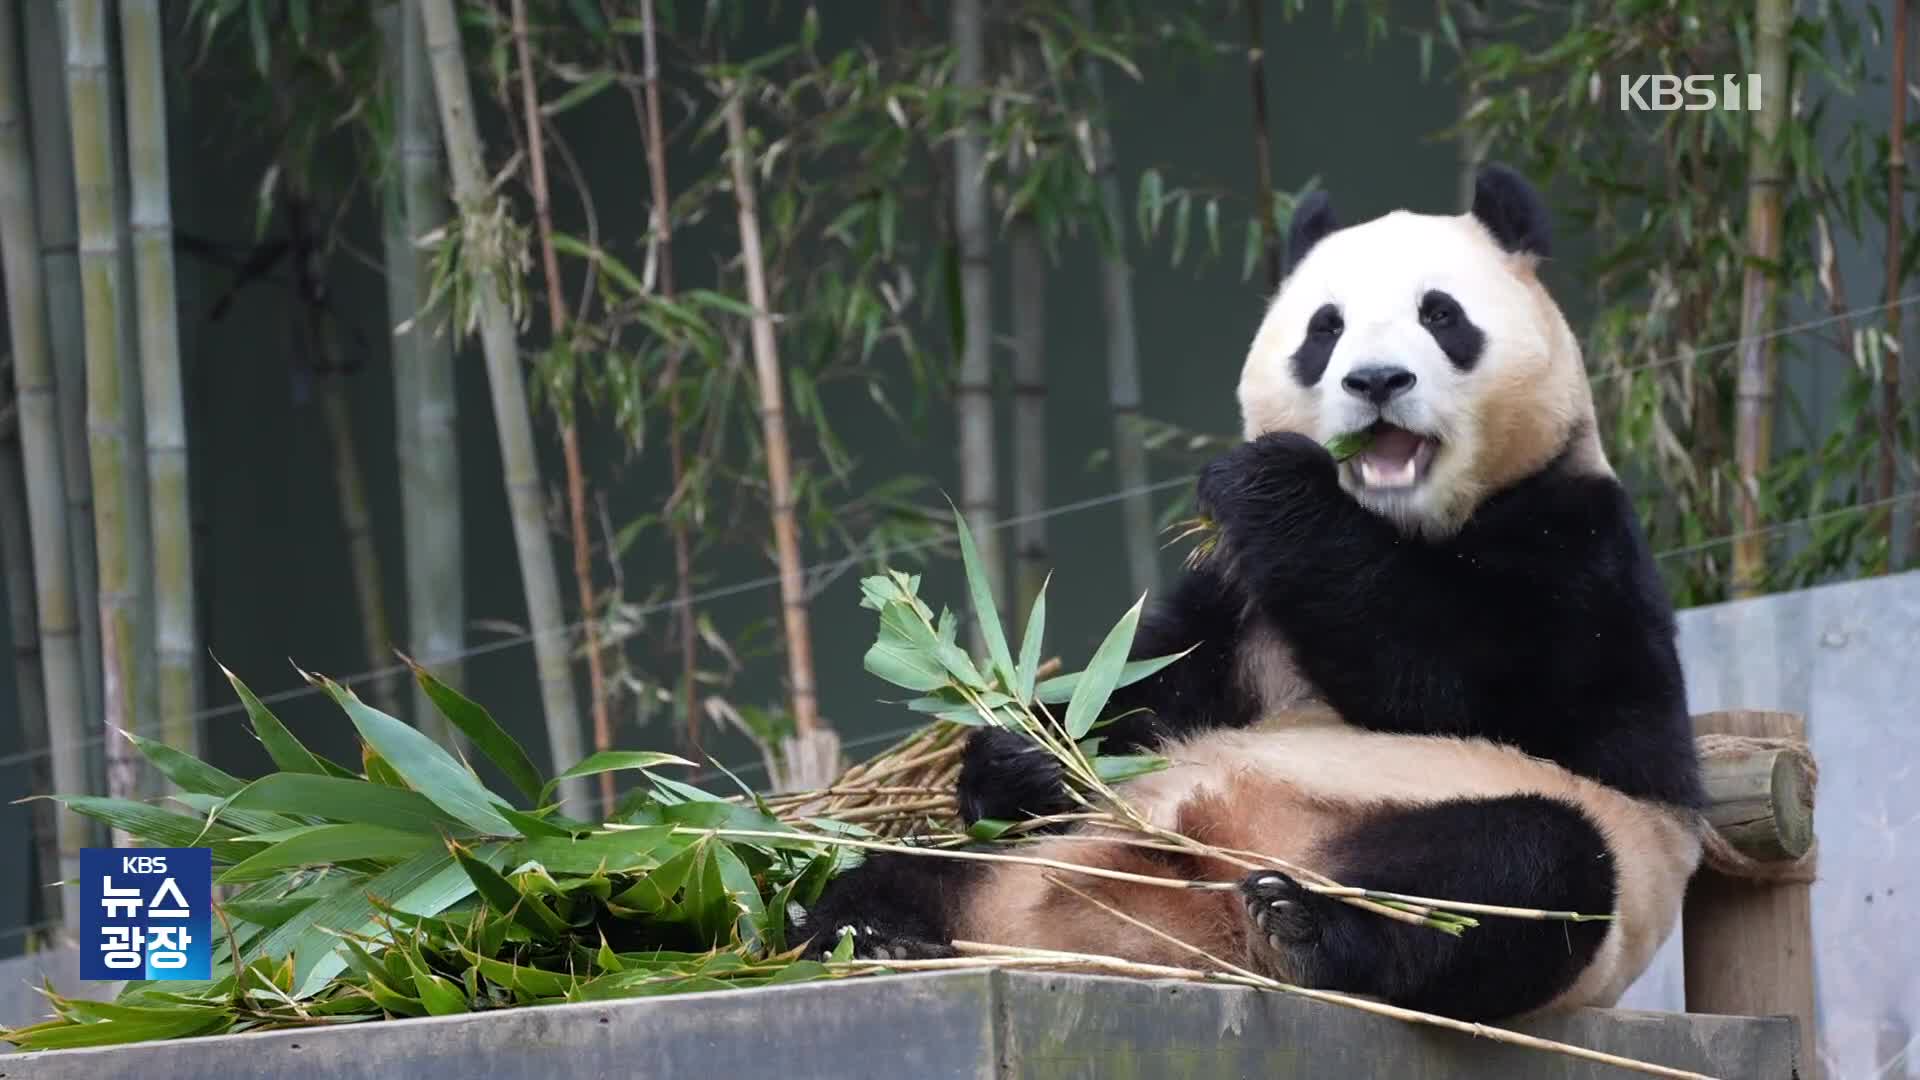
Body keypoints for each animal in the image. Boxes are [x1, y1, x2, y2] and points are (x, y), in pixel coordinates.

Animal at [798, 166, 1712, 1014]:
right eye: (1325, 329)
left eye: (1441, 316)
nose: (1376, 382)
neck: (1398, 522)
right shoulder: (1233, 597)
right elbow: (1148, 694)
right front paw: (1027, 757)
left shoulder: (1581, 543)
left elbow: (1477, 688)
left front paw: (1271, 481)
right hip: (1021, 860)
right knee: (907, 868)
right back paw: (864, 931)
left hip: (1493, 847)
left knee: (1523, 873)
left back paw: (1312, 932)